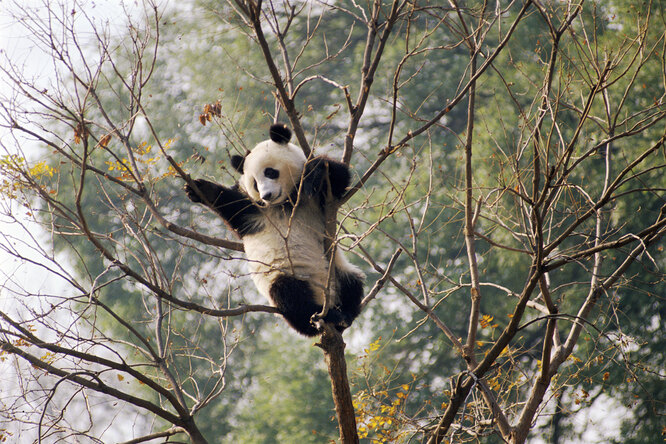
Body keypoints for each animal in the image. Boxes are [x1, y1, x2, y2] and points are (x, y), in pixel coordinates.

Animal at [184, 123, 364, 334]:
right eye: (254, 183)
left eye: (270, 172)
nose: (266, 195)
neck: (285, 202)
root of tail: (324, 297)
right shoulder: (255, 212)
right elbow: (233, 208)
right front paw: (201, 189)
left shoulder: (320, 201)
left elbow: (338, 178)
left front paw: (316, 171)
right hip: (284, 274)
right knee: (290, 297)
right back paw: (324, 316)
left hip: (337, 268)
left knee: (353, 283)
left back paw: (344, 315)